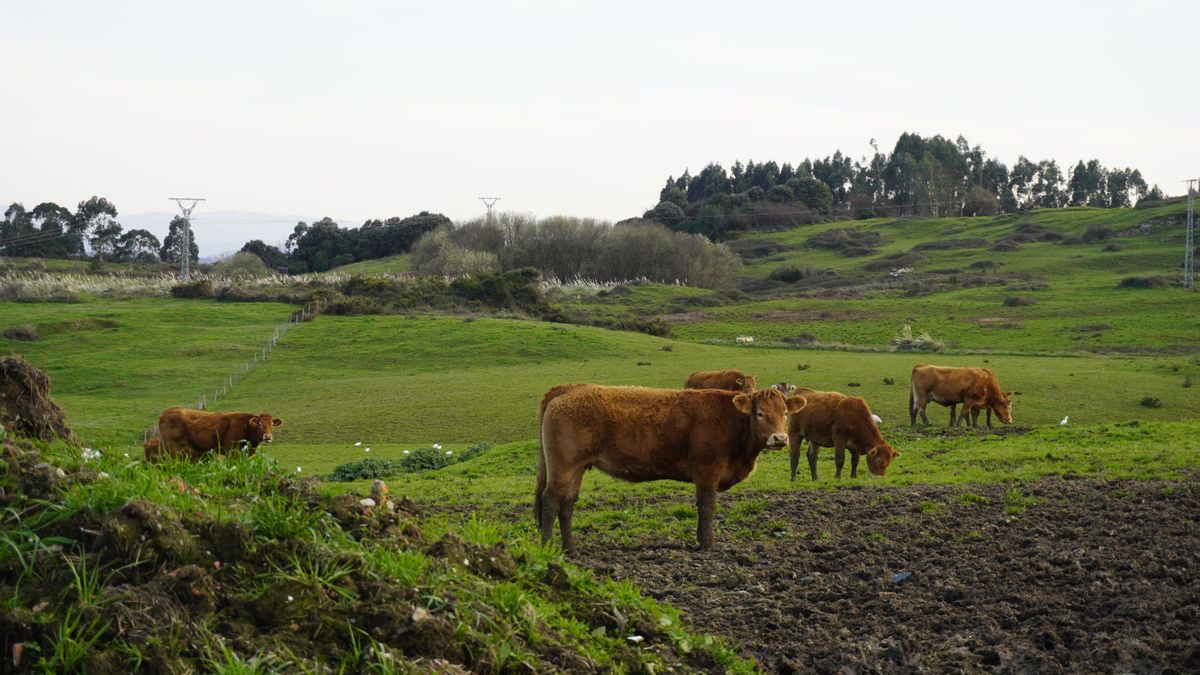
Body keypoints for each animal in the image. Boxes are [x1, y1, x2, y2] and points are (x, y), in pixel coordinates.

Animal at [153, 407, 283, 462]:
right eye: (259, 425)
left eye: (272, 424)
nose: (268, 437)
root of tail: (166, 412)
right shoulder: (232, 451)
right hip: (172, 446)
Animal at [536, 384, 806, 552]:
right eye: (760, 413)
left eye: (785, 413)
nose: (780, 438)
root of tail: (570, 387)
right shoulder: (707, 470)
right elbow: (707, 506)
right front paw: (707, 543)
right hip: (563, 466)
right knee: (550, 501)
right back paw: (547, 547)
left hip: (578, 468)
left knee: (567, 504)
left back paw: (571, 548)